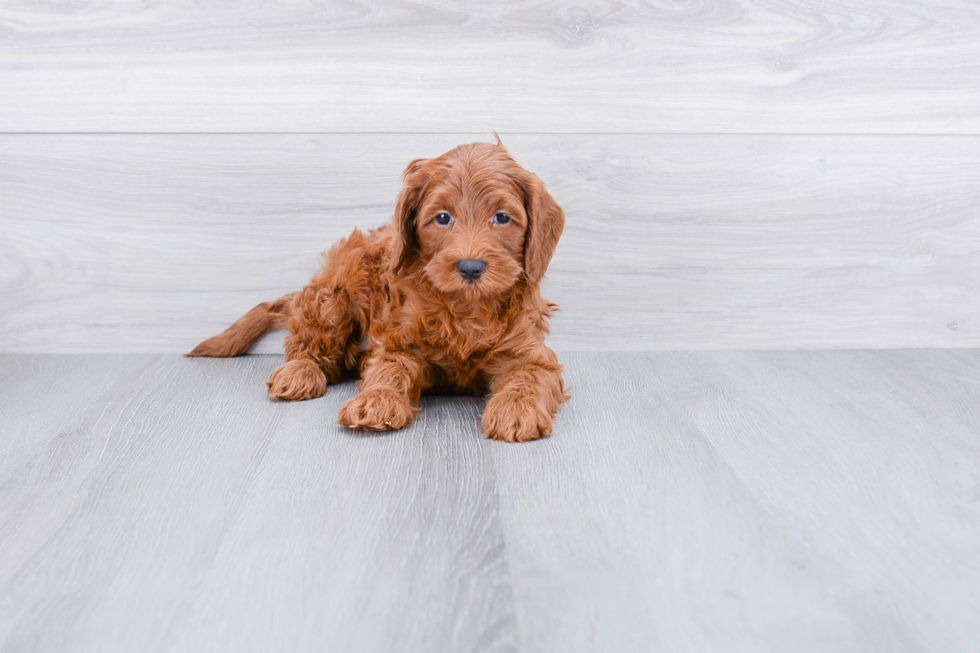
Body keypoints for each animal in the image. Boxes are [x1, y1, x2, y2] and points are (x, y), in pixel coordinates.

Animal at [189, 139, 568, 440]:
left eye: (502, 218)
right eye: (442, 218)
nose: (471, 267)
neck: (465, 308)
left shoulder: (529, 351)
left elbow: (531, 374)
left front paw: (516, 408)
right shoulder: (401, 340)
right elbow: (390, 367)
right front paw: (377, 400)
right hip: (333, 298)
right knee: (309, 347)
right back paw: (299, 372)